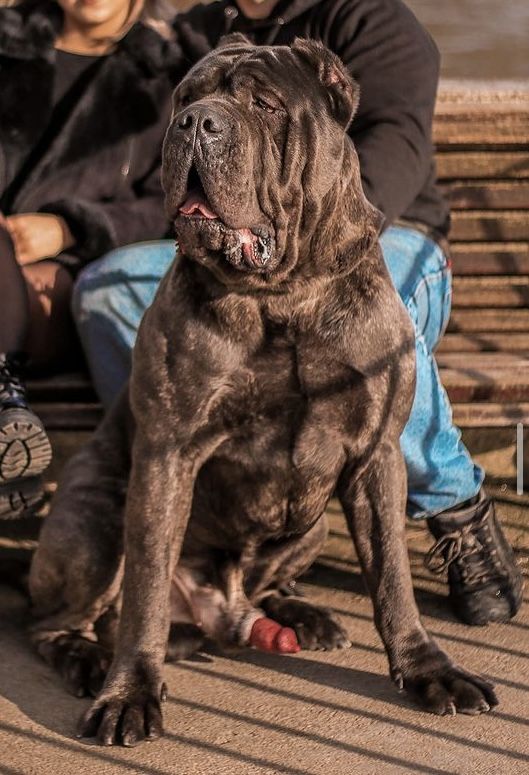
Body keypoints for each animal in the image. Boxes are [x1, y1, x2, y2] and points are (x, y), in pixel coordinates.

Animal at [29, 34, 496, 744]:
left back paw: (302, 615)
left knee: (263, 588)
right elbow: (144, 591)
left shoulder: (375, 459)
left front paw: (428, 670)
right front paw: (129, 692)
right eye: (184, 99)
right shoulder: (168, 456)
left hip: (310, 525)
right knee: (56, 622)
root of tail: (222, 612)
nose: (196, 124)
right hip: (97, 523)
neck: (284, 293)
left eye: (267, 105)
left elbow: (392, 577)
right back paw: (89, 660)